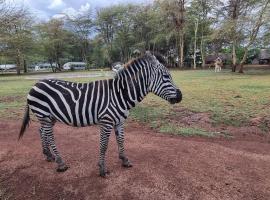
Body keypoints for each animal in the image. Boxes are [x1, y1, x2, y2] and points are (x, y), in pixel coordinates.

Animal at [18, 51, 181, 177]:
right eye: (166, 76)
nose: (180, 96)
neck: (119, 94)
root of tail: (35, 85)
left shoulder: (119, 121)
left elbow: (121, 141)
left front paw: (124, 160)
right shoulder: (106, 121)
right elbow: (104, 145)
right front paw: (102, 169)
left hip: (49, 117)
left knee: (41, 131)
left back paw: (48, 155)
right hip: (44, 115)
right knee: (50, 136)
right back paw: (60, 163)